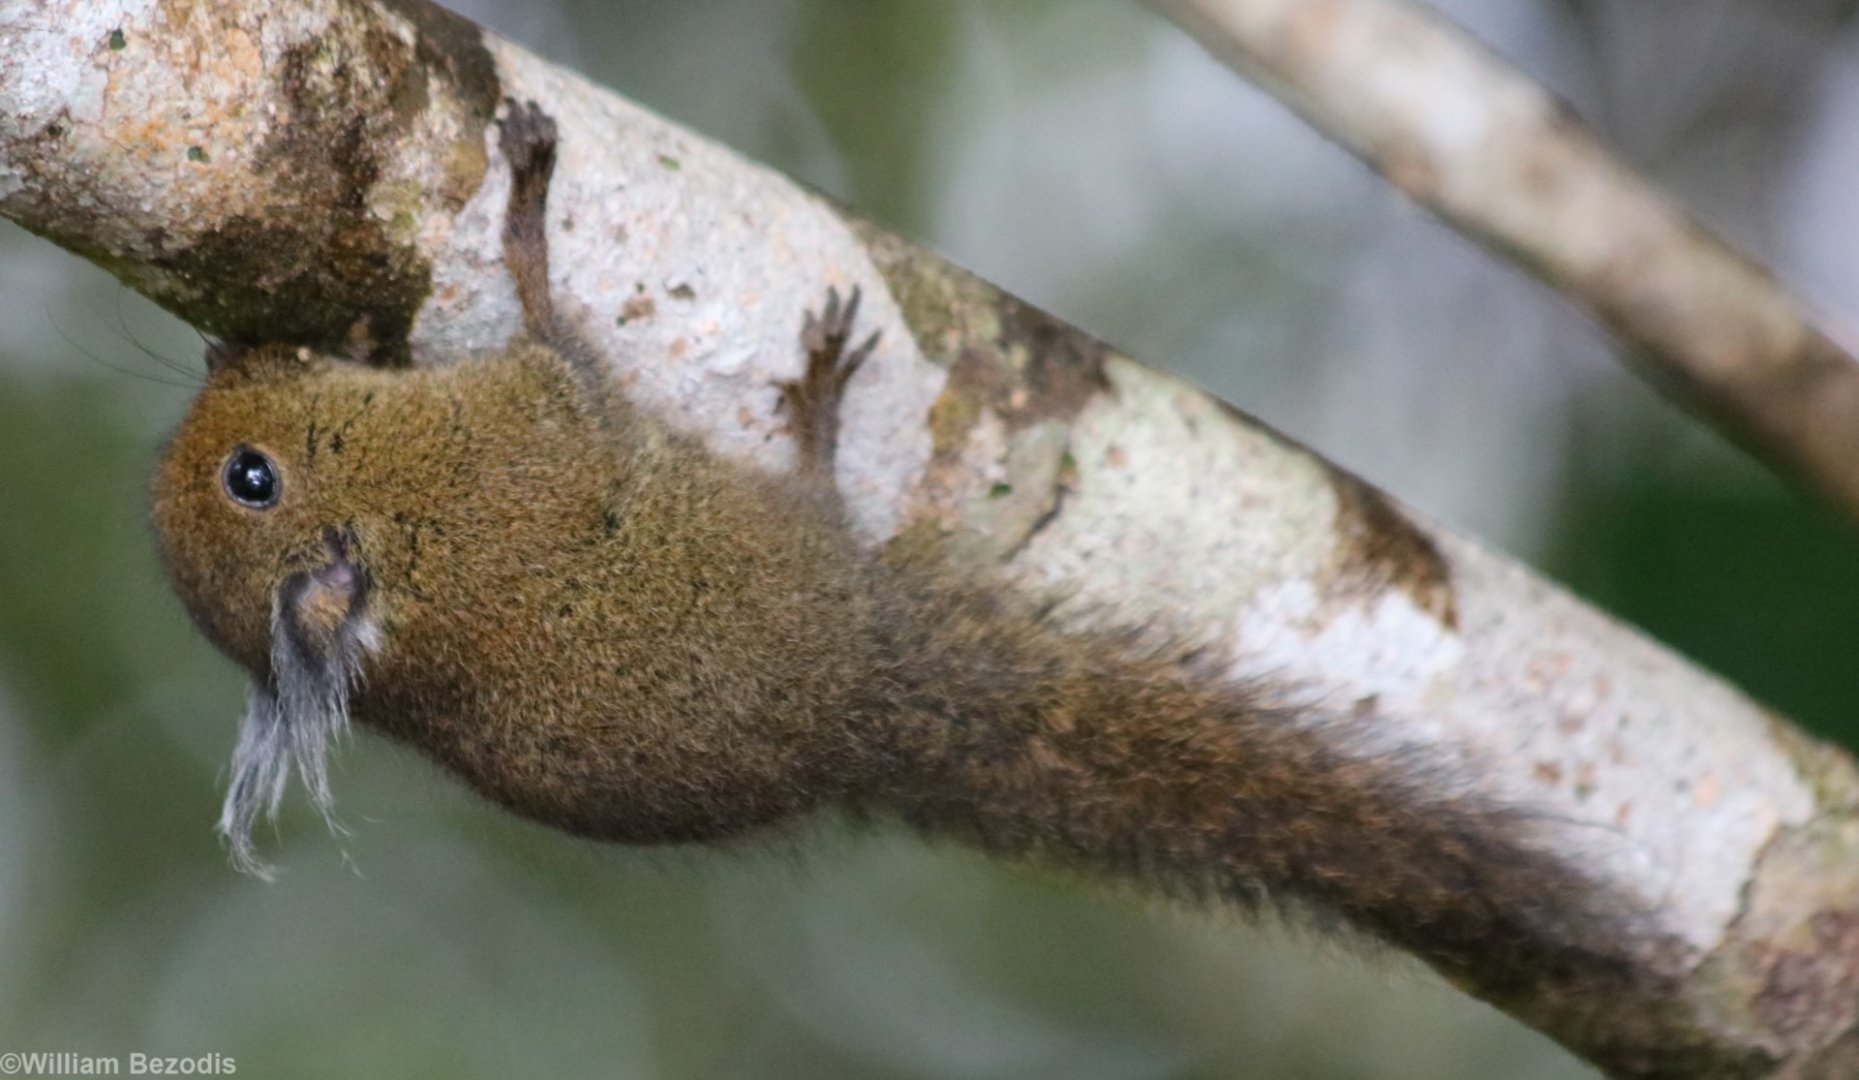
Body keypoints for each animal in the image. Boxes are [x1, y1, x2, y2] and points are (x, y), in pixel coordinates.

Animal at [150, 100, 1631, 999]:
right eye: (251, 480)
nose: (223, 368)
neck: (403, 519)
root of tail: (866, 702)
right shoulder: (538, 429)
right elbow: (546, 312)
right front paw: (522, 209)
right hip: (811, 548)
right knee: (816, 498)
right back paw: (814, 414)